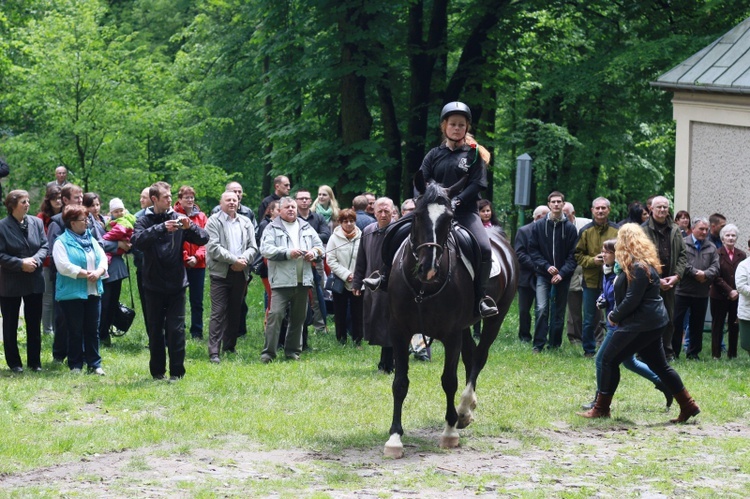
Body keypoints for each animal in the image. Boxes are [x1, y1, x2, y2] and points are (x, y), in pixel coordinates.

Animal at [384, 174, 520, 458]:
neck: (423, 288)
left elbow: (449, 380)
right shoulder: (399, 331)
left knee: (479, 356)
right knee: (470, 356)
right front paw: (395, 438)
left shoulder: (450, 335)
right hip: (466, 327)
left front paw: (449, 432)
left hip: (495, 319)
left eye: (448, 218)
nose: (428, 267)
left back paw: (464, 410)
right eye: (417, 215)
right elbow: (400, 383)